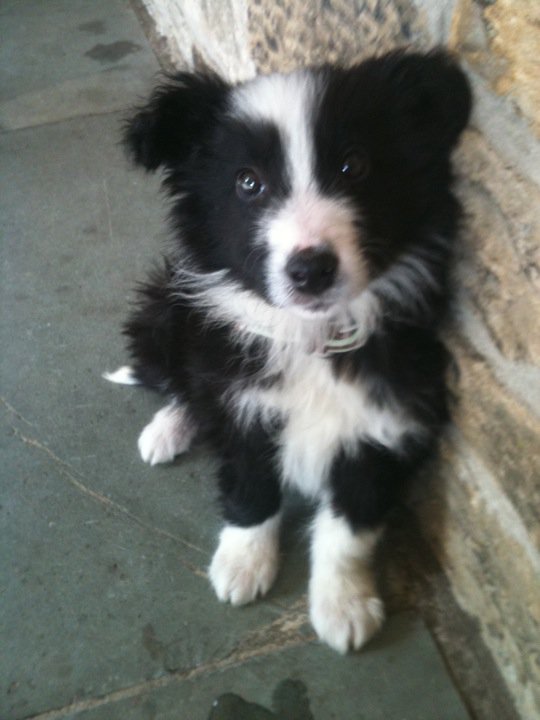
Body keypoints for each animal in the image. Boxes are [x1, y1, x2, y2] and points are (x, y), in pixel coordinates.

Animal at [106, 50, 472, 652]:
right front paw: (242, 564)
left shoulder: (390, 418)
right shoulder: (243, 401)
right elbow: (251, 485)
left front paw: (343, 606)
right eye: (248, 183)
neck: (313, 335)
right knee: (183, 383)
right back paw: (168, 429)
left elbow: (351, 524)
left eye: (354, 166)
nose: (311, 270)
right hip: (168, 315)